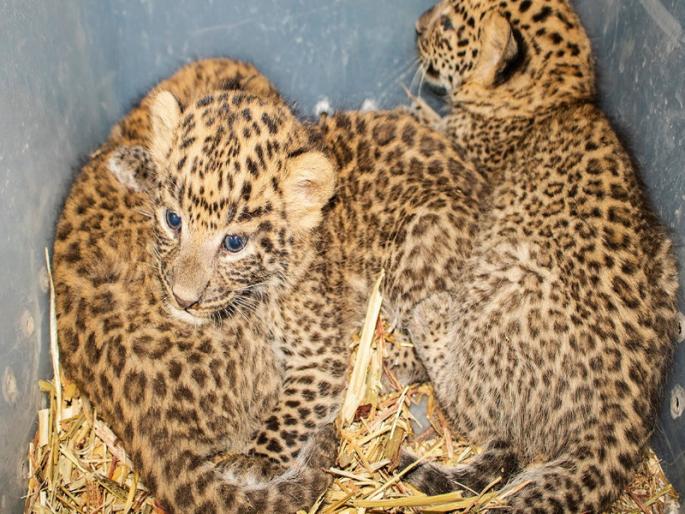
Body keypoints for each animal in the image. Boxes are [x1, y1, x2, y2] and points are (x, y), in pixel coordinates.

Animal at [398, 0, 681, 512]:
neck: (558, 97)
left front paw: (411, 106)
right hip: (665, 262)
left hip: (506, 278)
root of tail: (624, 411)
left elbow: (439, 126)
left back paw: (428, 316)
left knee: (474, 409)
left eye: (446, 24)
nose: (416, 25)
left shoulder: (468, 149)